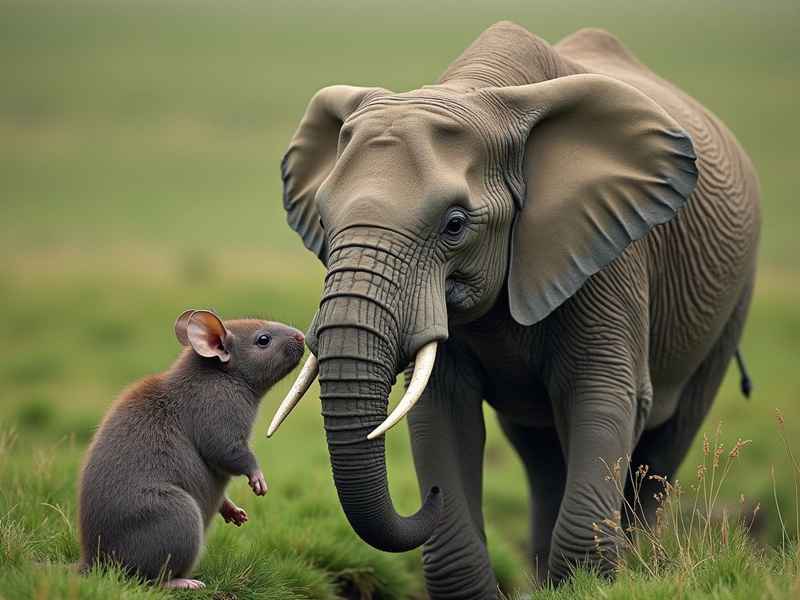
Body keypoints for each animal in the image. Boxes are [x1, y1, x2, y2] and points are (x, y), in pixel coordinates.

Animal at [269, 21, 760, 598]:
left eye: (455, 224)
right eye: (324, 220)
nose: (427, 497)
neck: (480, 91)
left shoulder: (609, 250)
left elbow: (604, 392)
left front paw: (591, 582)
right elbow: (441, 406)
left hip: (733, 298)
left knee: (670, 437)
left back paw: (640, 562)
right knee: (540, 450)